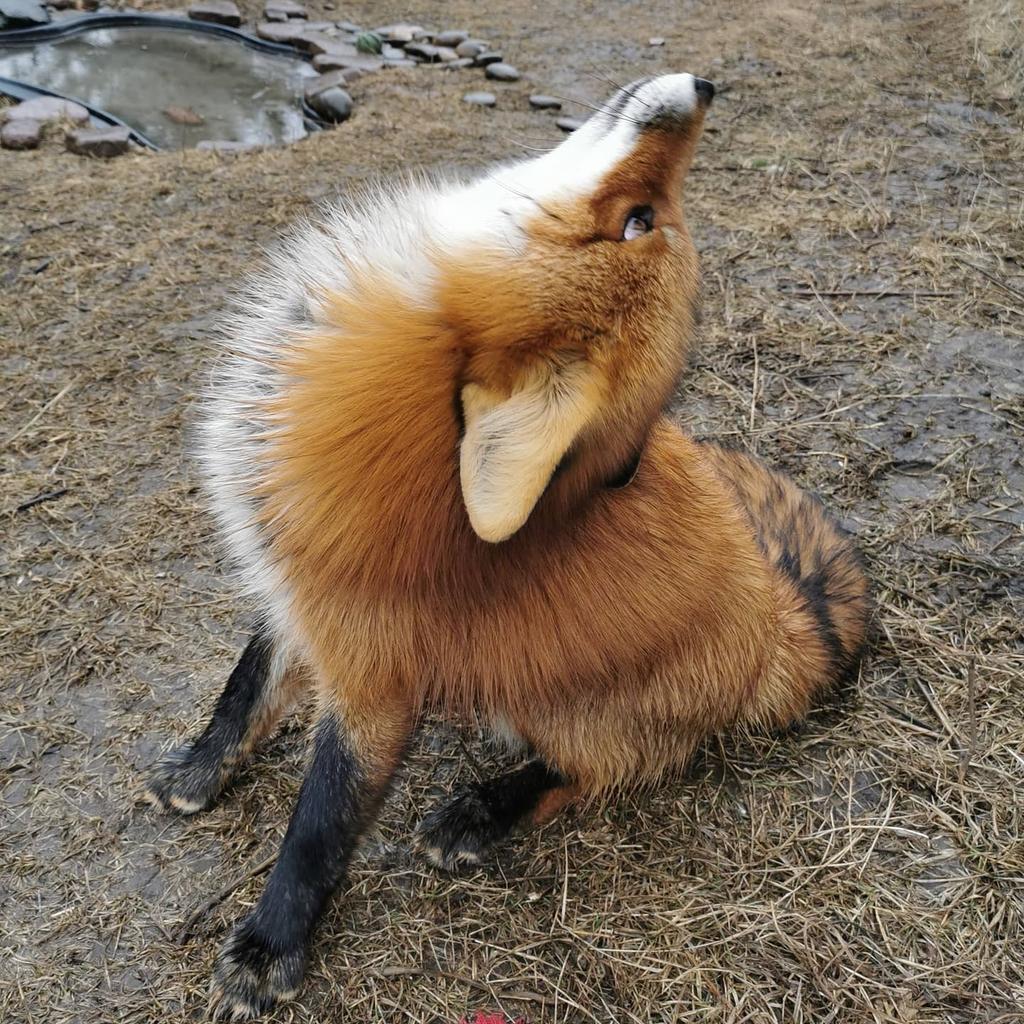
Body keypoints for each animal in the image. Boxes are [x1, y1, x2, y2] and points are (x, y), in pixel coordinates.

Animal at [145, 73, 870, 1018]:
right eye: (643, 219)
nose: (709, 84)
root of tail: (783, 626)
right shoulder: (297, 590)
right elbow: (244, 689)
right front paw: (200, 771)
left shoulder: (373, 683)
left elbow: (318, 830)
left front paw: (270, 949)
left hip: (563, 709)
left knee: (589, 773)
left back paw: (481, 812)